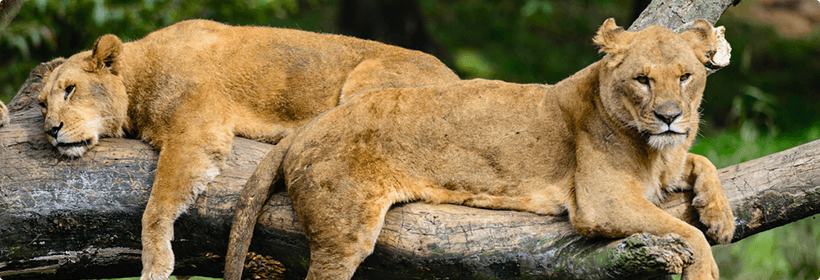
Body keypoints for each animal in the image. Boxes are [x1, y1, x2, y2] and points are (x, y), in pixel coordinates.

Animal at [35, 18, 458, 278]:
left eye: (70, 89)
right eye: (41, 104)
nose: (52, 130)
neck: (139, 76)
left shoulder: (197, 128)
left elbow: (156, 205)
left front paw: (155, 262)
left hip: (369, 80)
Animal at [226, 18, 736, 278]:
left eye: (685, 76)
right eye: (643, 80)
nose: (670, 116)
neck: (654, 149)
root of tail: (309, 127)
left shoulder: (670, 163)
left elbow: (703, 161)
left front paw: (721, 216)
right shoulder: (601, 203)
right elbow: (686, 233)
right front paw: (707, 267)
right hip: (343, 231)